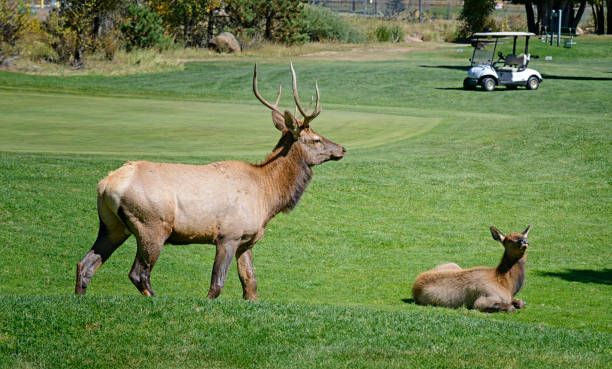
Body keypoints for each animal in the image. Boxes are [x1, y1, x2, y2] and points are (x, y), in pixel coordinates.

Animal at [73, 63, 344, 300]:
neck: (268, 197)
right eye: (316, 139)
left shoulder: (247, 240)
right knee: (139, 273)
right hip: (152, 225)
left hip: (112, 226)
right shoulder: (228, 235)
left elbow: (251, 286)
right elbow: (217, 285)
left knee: (85, 264)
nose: (342, 148)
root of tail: (105, 185)